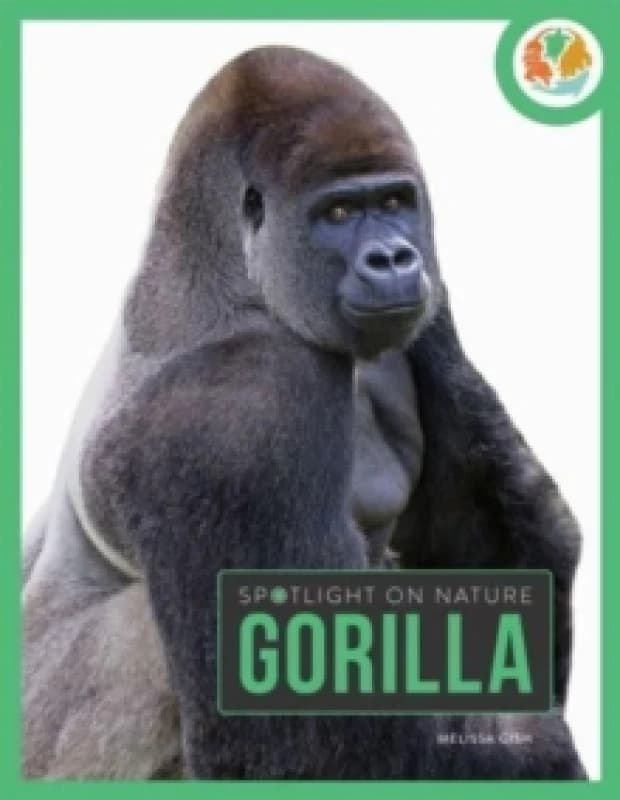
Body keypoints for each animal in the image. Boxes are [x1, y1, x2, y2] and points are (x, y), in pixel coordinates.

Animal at [23, 46, 585, 779]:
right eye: (338, 213)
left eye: (395, 202)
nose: (393, 257)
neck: (229, 275)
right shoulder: (242, 411)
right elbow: (305, 740)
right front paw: (536, 749)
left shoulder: (430, 306)